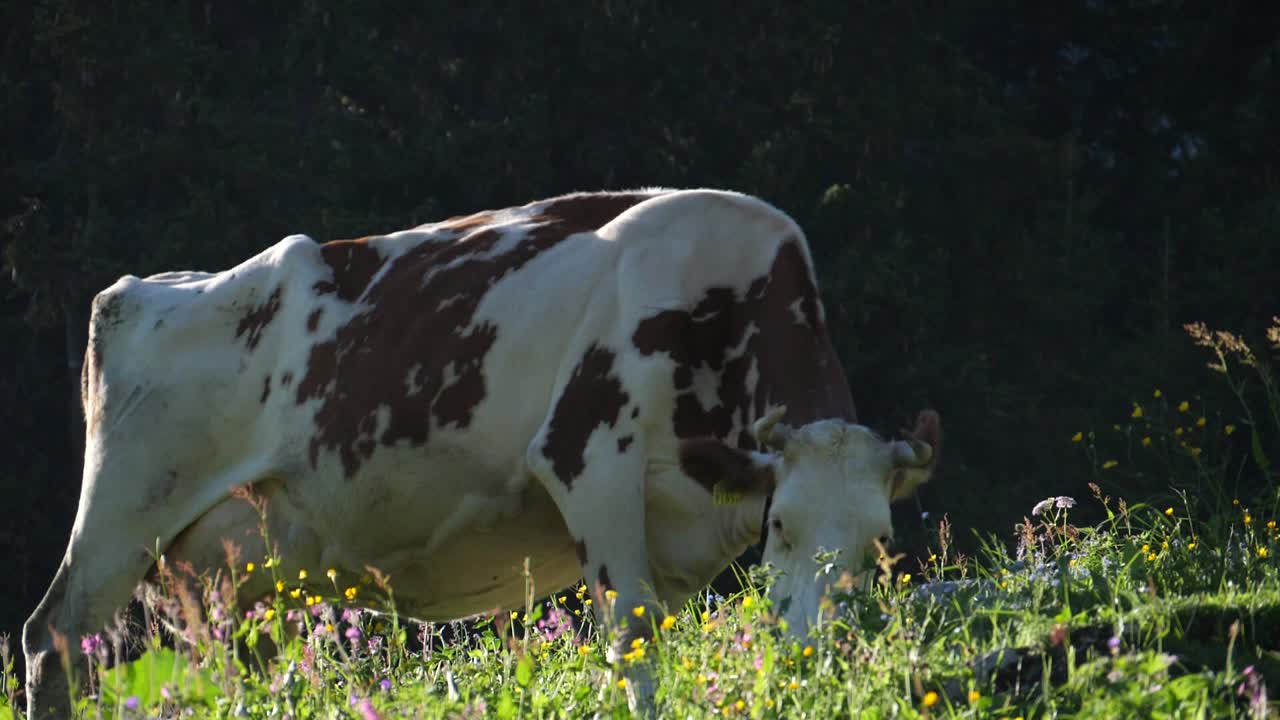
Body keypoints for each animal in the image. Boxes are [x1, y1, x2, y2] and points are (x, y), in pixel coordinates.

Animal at [24, 188, 940, 718]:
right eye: (780, 525)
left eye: (881, 542)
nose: (816, 647)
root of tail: (147, 287)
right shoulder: (586, 454)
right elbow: (634, 644)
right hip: (121, 515)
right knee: (52, 640)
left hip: (237, 574)